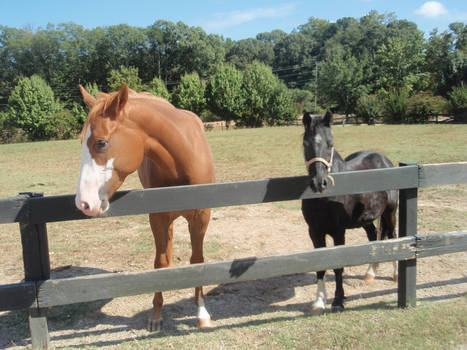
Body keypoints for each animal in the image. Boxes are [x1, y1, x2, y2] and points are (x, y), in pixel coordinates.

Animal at [76, 84, 217, 330]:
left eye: (101, 143)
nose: (83, 203)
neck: (181, 161)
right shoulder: (157, 216)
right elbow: (160, 262)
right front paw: (155, 315)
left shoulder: (201, 216)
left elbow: (197, 261)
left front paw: (202, 314)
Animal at [304, 111, 398, 314]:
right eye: (305, 143)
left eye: (330, 143)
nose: (319, 183)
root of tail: (384, 159)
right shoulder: (315, 232)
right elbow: (320, 266)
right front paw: (319, 302)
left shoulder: (338, 232)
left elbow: (338, 266)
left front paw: (338, 301)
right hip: (365, 219)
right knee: (373, 237)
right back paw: (370, 273)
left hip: (390, 213)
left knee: (394, 236)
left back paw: (395, 274)